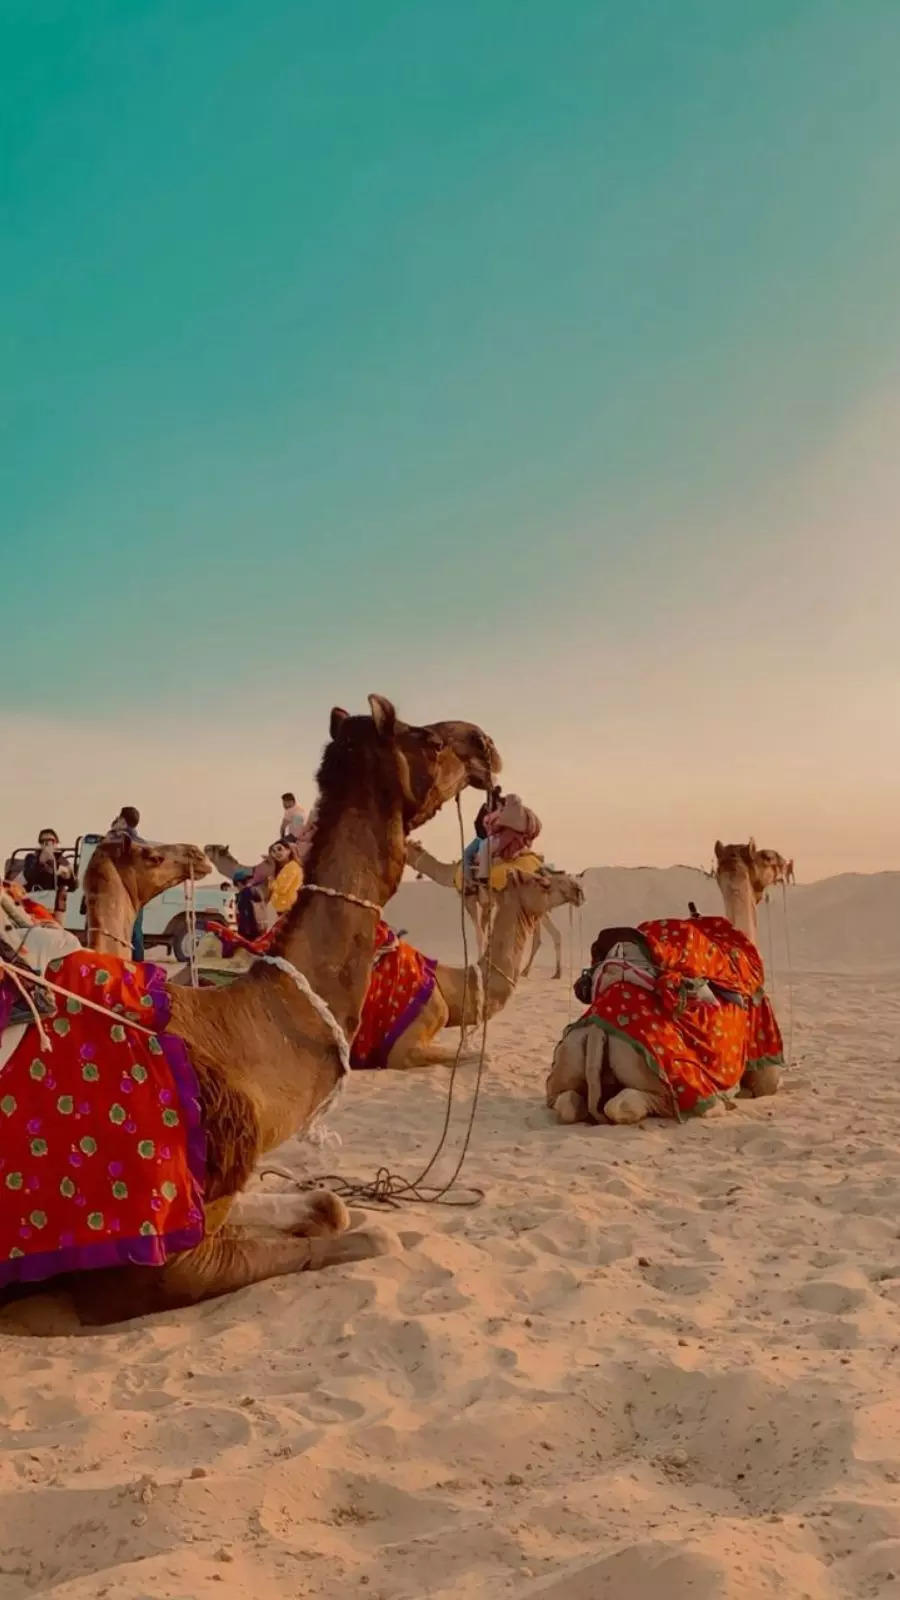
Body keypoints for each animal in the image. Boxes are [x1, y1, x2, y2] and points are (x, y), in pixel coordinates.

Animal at [0, 700, 496, 1324]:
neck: (235, 1030)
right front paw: (373, 1235)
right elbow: (365, 1237)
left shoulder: (215, 1194)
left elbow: (329, 1203)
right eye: (428, 740)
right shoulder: (145, 1252)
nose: (483, 741)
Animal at [405, 844, 560, 979]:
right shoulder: (487, 904)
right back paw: (542, 972)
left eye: (406, 846)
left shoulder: (469, 899)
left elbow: (479, 934)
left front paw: (479, 966)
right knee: (546, 934)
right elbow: (485, 932)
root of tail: (539, 866)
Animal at [544, 838, 787, 1126]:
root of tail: (595, 1033)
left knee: (568, 1102)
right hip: (663, 1077)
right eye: (766, 858)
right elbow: (769, 1084)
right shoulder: (764, 1061)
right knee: (630, 1104)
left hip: (564, 1064)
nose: (783, 862)